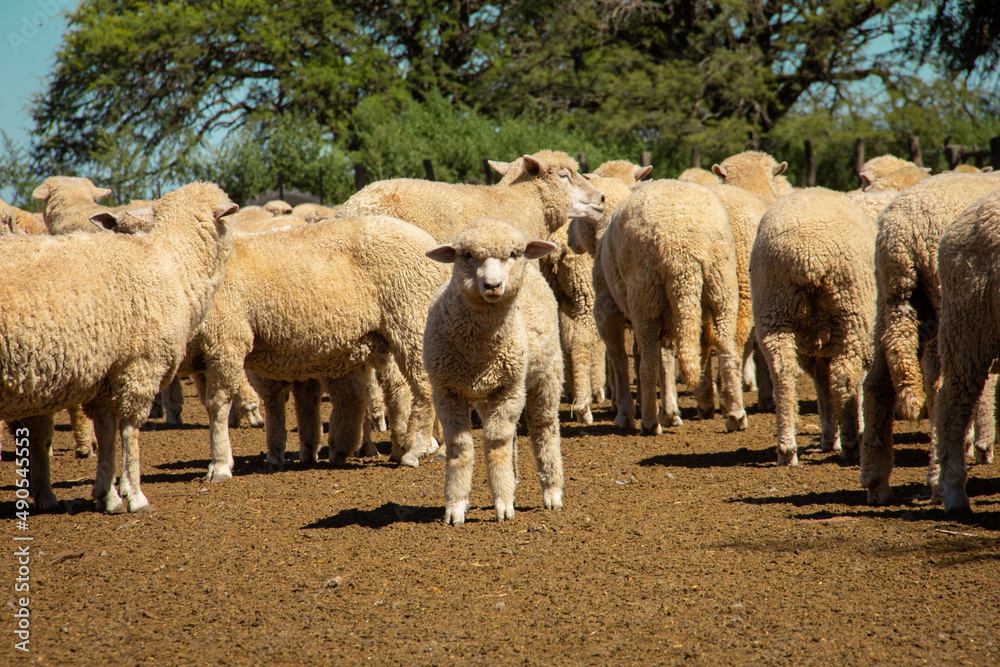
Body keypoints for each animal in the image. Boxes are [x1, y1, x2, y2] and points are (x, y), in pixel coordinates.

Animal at [1, 182, 236, 512]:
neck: (172, 263)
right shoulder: (140, 366)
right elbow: (129, 430)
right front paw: (134, 495)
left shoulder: (105, 378)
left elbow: (106, 432)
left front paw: (107, 493)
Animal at [179, 215, 450, 481]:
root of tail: (428, 242)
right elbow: (286, 403)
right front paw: (283, 454)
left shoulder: (225, 342)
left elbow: (219, 405)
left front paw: (220, 465)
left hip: (411, 319)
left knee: (423, 387)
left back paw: (414, 450)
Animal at [423, 217, 564, 525]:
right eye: (466, 255)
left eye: (513, 254)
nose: (493, 285)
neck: (478, 353)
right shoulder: (446, 391)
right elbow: (460, 446)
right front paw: (456, 506)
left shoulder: (510, 389)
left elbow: (497, 443)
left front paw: (503, 505)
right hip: (488, 396)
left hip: (545, 376)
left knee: (544, 428)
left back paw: (551, 492)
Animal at [750, 188, 877, 465]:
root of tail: (807, 253)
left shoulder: (814, 349)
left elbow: (822, 385)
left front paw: (829, 436)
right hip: (853, 309)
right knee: (846, 374)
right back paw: (851, 444)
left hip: (773, 310)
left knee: (783, 374)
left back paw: (786, 449)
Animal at [859, 170, 1000, 505]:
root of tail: (900, 227)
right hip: (954, 310)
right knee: (943, 391)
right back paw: (940, 483)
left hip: (892, 301)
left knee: (877, 383)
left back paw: (877, 483)